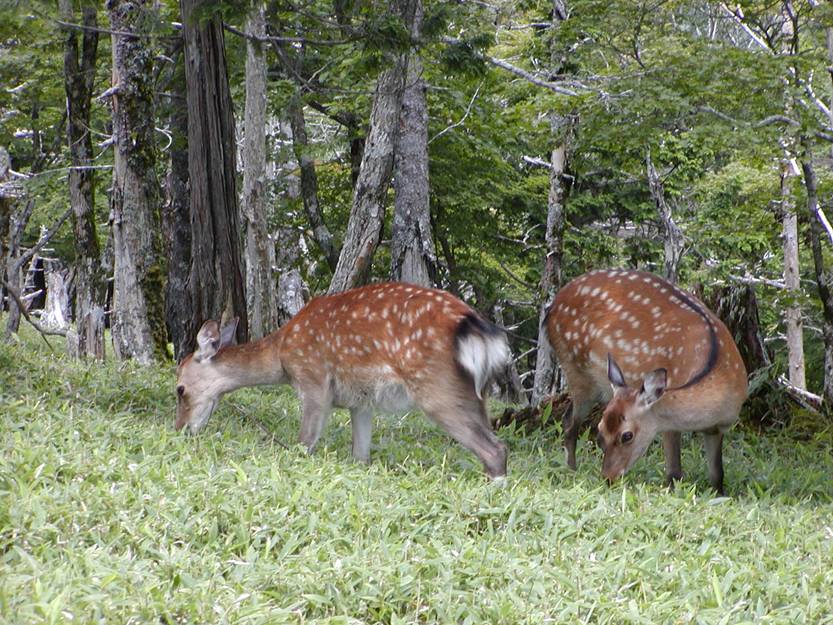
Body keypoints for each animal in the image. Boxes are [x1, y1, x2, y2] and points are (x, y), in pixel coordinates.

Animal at [176, 282, 510, 478]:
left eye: (180, 389)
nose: (180, 429)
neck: (282, 356)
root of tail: (474, 327)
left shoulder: (313, 380)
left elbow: (304, 444)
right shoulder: (360, 401)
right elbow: (360, 456)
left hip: (435, 387)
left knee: (494, 450)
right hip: (475, 393)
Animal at [544, 268, 748, 492]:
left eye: (627, 435)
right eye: (600, 430)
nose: (608, 477)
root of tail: (551, 307)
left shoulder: (718, 427)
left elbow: (717, 475)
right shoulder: (668, 424)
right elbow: (674, 473)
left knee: (567, 418)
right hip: (575, 368)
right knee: (571, 424)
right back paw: (571, 472)